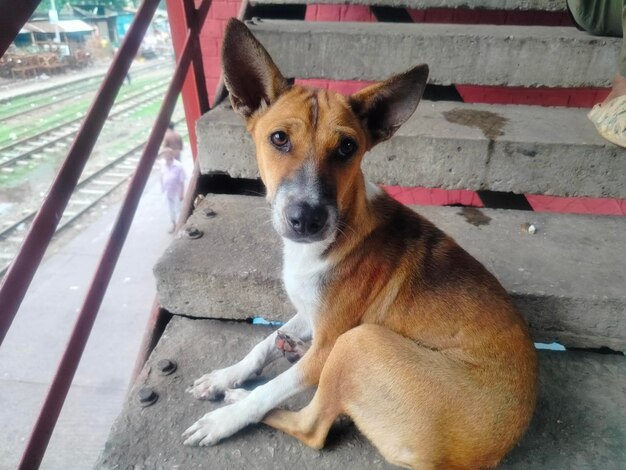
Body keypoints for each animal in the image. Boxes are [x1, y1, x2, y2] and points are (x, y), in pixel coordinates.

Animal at [182, 19, 536, 470]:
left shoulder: (329, 344)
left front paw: (226, 416)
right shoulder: (313, 313)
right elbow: (261, 345)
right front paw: (224, 375)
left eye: (347, 147)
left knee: (311, 428)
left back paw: (238, 398)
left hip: (358, 343)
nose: (307, 219)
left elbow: (272, 389)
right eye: (278, 138)